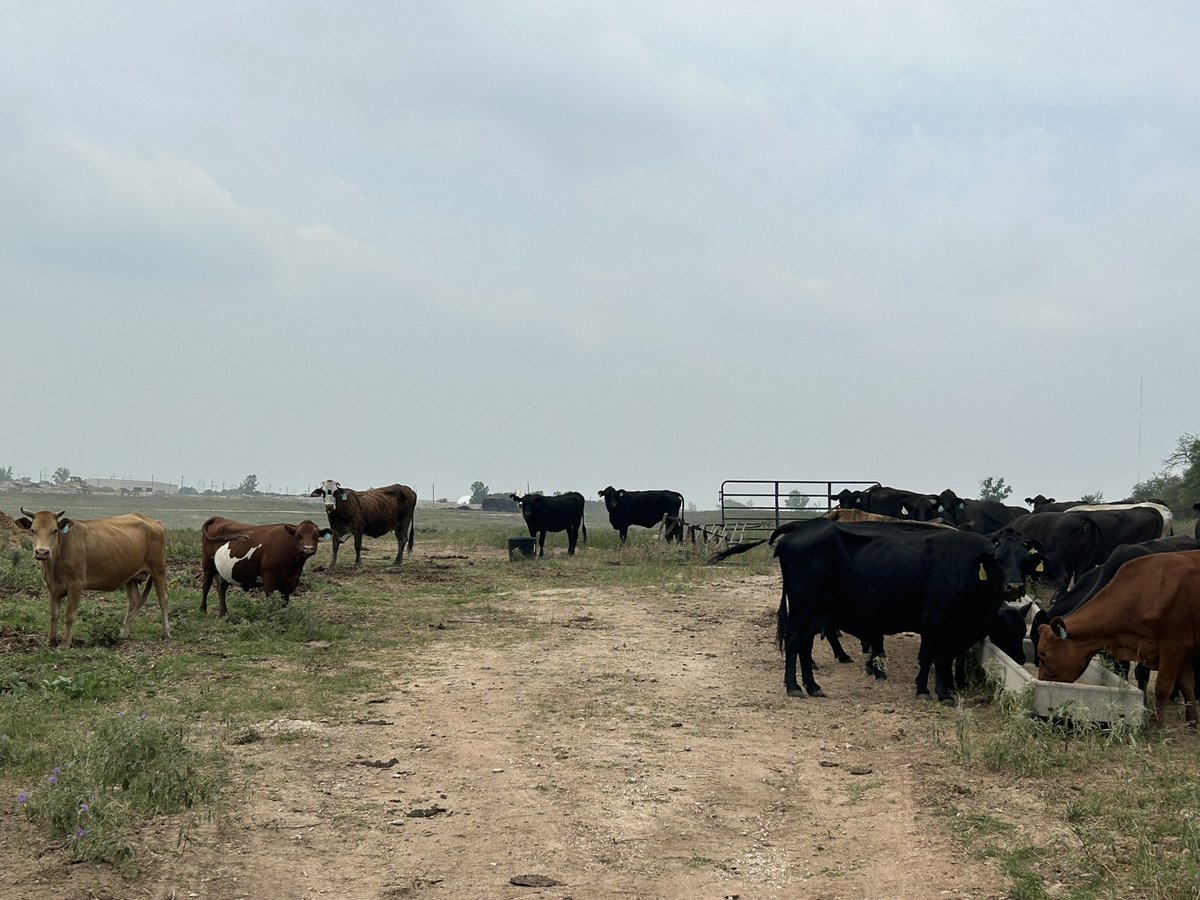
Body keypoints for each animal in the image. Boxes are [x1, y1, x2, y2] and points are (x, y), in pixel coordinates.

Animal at [13, 508, 170, 648]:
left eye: (55, 530)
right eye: (33, 530)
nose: (42, 552)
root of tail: (154, 521)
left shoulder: (76, 584)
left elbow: (69, 615)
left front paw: (65, 643)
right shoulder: (52, 587)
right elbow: (54, 614)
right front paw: (51, 640)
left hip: (158, 569)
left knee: (163, 599)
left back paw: (166, 633)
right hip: (130, 576)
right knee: (133, 601)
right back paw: (124, 632)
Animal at [200, 517, 332, 617]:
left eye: (316, 536)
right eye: (298, 535)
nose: (308, 548)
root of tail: (219, 518)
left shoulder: (290, 582)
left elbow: (284, 602)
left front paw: (282, 618)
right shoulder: (269, 577)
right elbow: (270, 598)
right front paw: (270, 618)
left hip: (222, 571)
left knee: (221, 587)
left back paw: (224, 614)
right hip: (208, 564)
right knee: (206, 585)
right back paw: (203, 610)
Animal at [773, 518, 1043, 705]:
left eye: (1025, 560)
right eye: (997, 559)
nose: (1014, 587)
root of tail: (800, 528)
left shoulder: (953, 630)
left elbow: (937, 657)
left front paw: (930, 687)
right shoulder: (938, 622)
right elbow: (937, 658)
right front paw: (942, 693)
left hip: (815, 613)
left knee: (805, 646)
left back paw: (812, 686)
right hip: (802, 608)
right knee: (794, 641)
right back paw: (793, 686)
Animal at [1037, 550, 1200, 726]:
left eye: (1043, 654)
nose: (1041, 680)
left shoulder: (1173, 646)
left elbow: (1163, 688)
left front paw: (1155, 724)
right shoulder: (1183, 649)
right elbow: (1188, 685)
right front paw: (1193, 721)